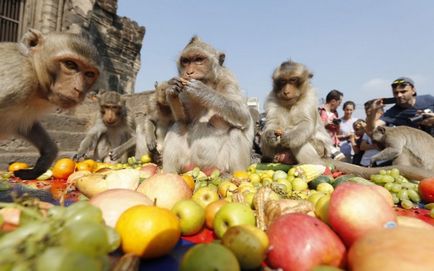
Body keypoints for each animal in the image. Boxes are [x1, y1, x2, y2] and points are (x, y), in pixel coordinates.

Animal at [0, 28, 101, 181]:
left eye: (89, 74)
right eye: (70, 64)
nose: (79, 90)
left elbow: (25, 125)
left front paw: (44, 159)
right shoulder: (18, 81)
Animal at [163, 36, 254, 174]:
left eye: (199, 59)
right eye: (186, 61)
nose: (189, 72)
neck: (209, 83)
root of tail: (202, 168)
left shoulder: (228, 78)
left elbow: (243, 115)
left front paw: (202, 90)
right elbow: (184, 119)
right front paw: (172, 89)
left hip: (220, 164)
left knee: (236, 132)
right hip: (188, 163)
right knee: (178, 125)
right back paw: (169, 174)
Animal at [262, 60, 434, 182]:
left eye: (292, 80)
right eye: (282, 82)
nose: (286, 91)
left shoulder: (310, 96)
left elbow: (306, 124)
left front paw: (288, 137)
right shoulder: (272, 97)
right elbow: (271, 123)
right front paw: (271, 134)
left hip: (320, 151)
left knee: (302, 141)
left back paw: (310, 164)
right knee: (267, 138)